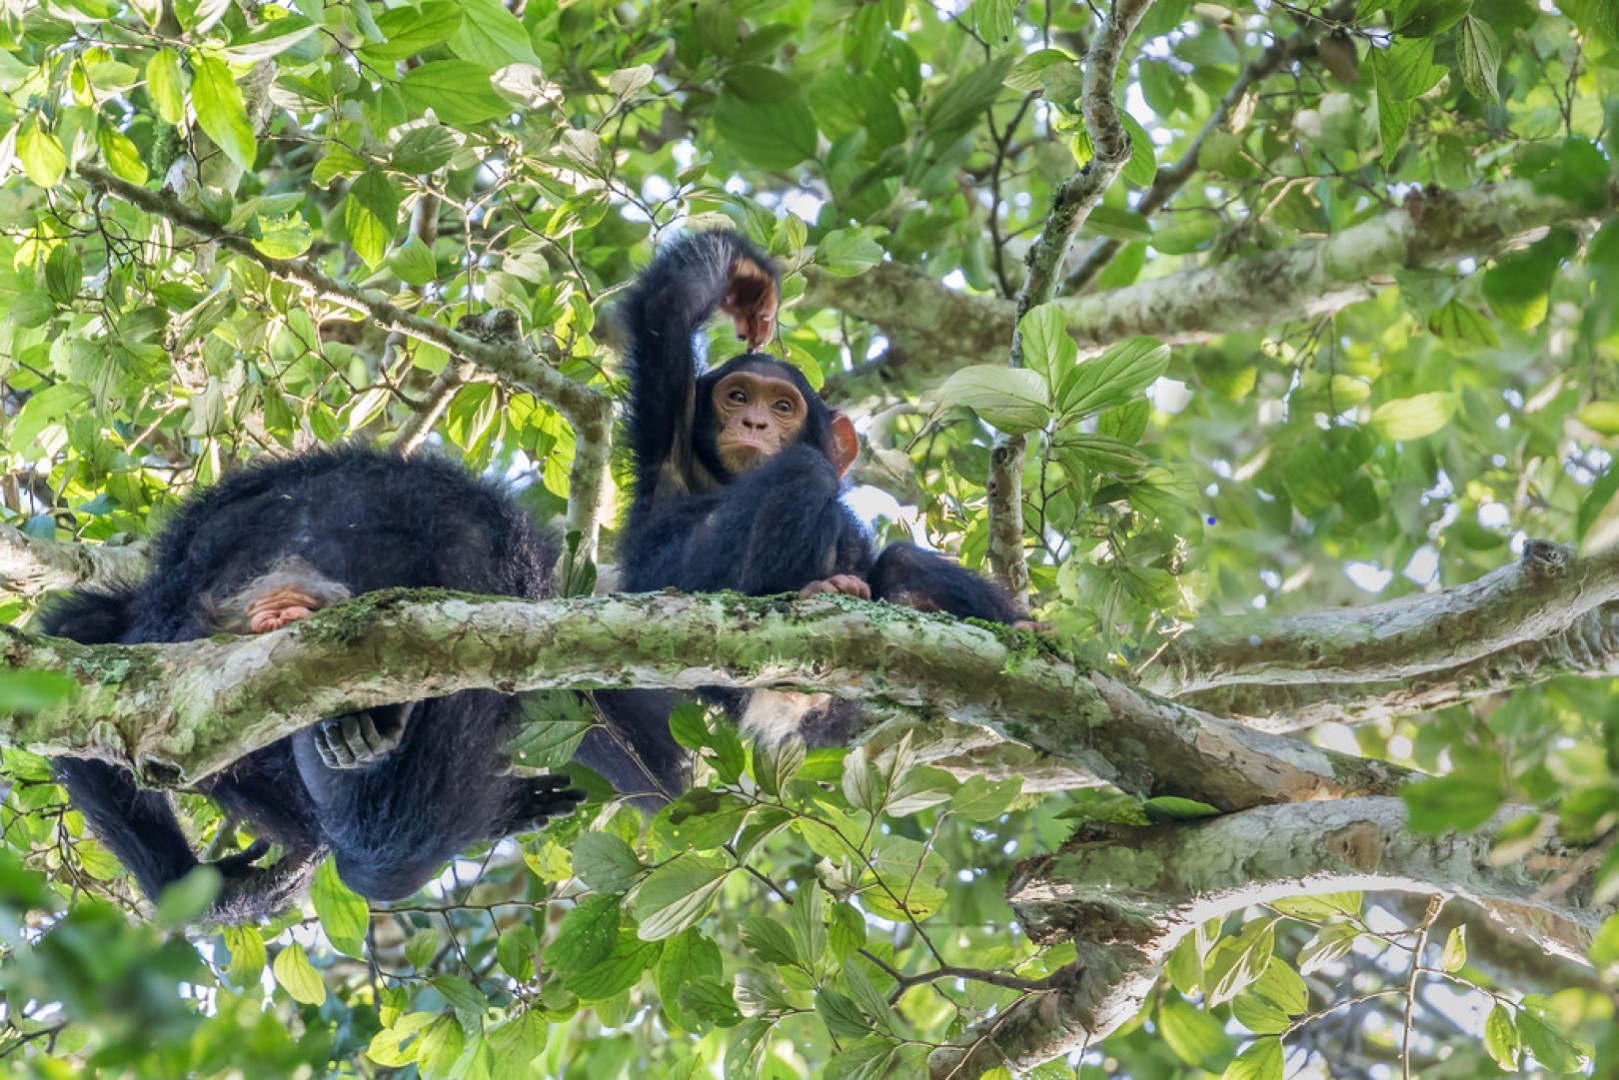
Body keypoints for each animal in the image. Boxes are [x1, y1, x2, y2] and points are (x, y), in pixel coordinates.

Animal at [611, 229, 1029, 793]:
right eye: (737, 396)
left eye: (782, 406)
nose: (755, 422)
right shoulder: (668, 424)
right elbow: (667, 309)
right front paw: (747, 281)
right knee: (803, 472)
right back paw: (808, 588)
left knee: (901, 564)